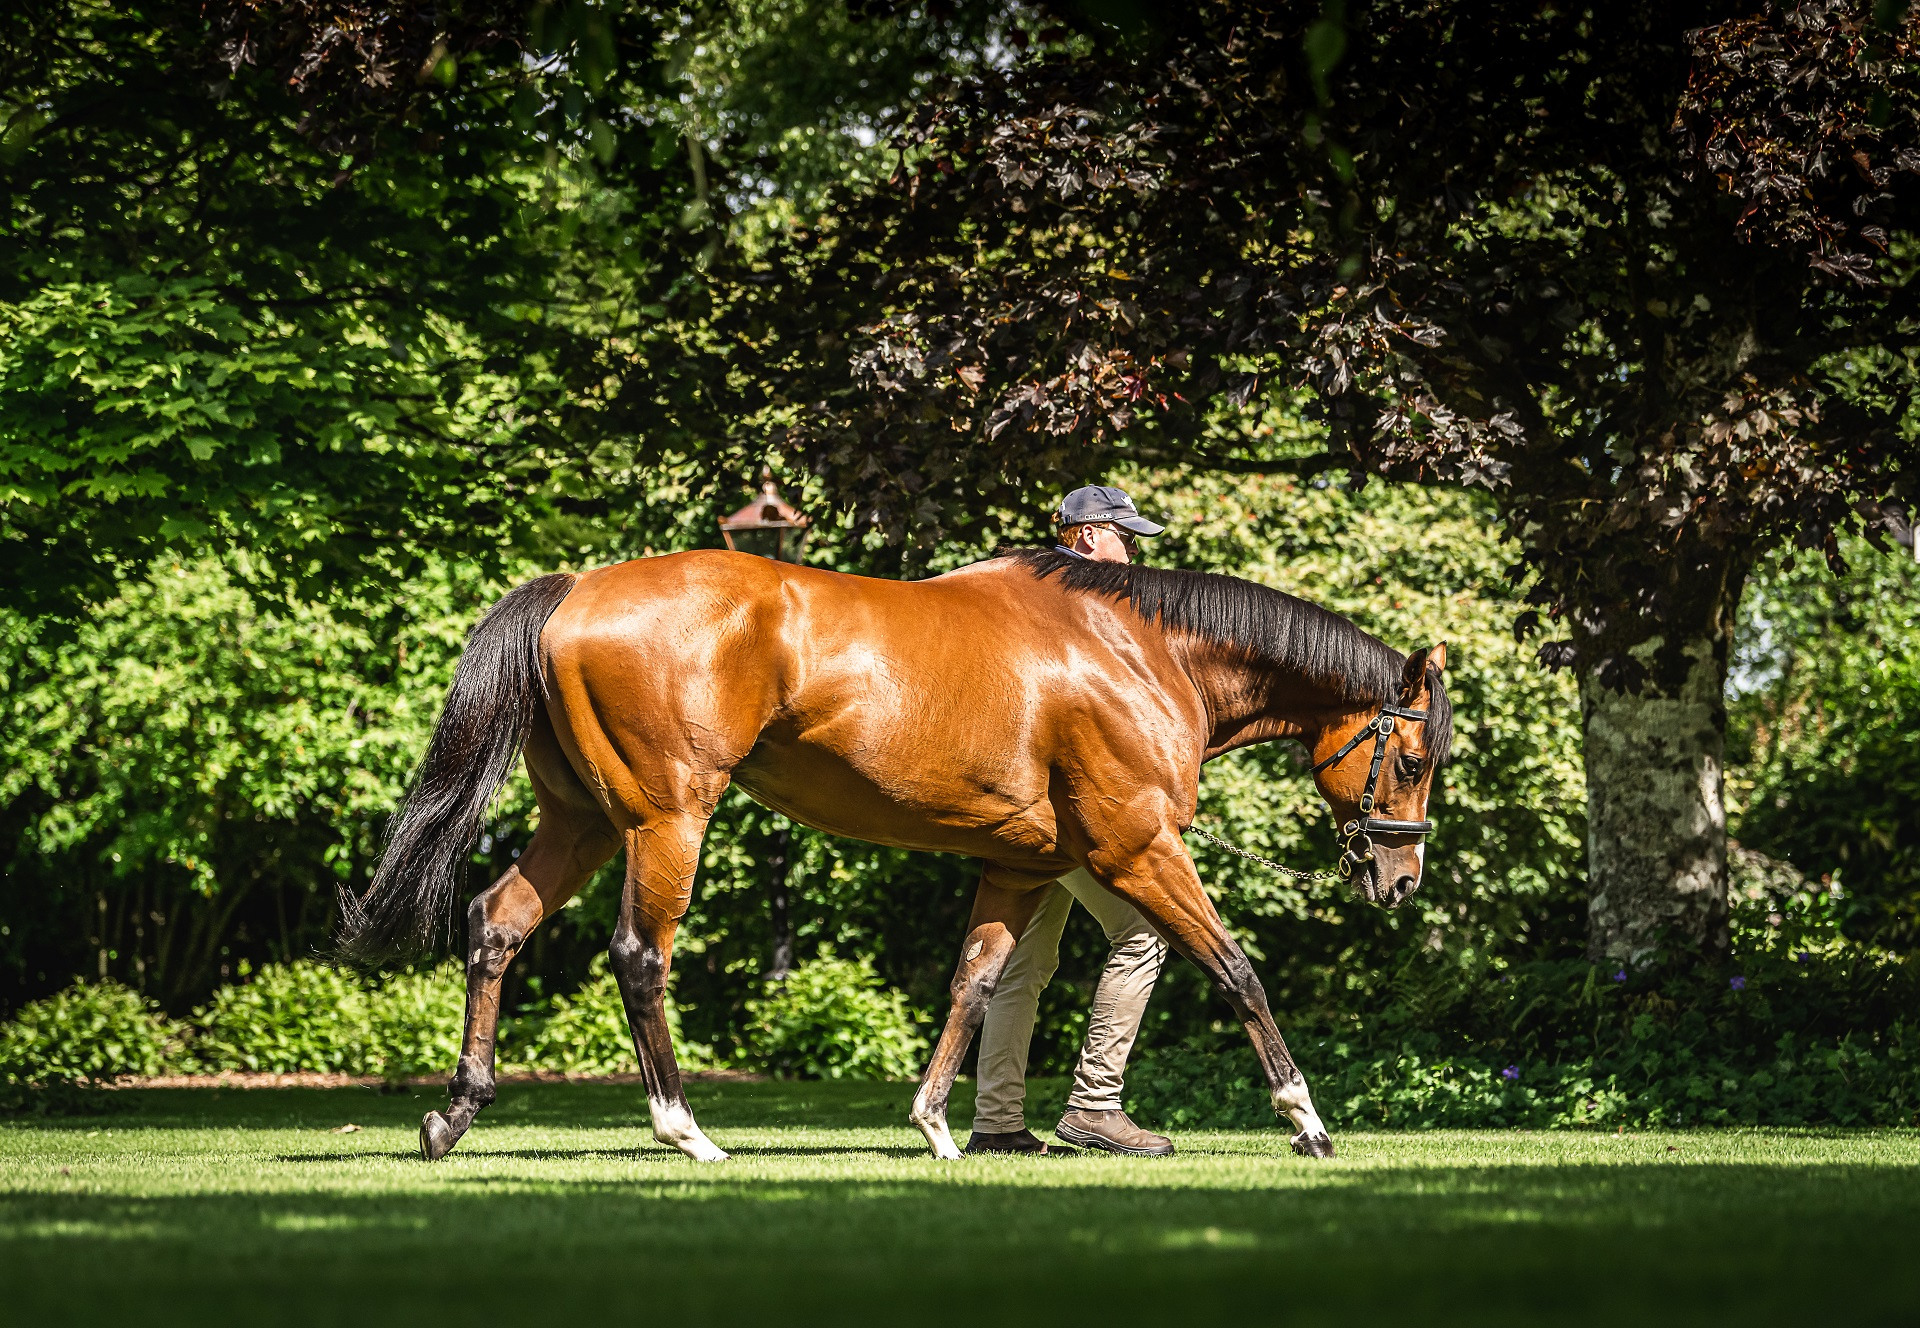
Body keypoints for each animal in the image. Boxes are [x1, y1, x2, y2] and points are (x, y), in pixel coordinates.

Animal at [341, 548, 1451, 1159]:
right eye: (1413, 756)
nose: (1398, 878)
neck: (1137, 650)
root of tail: (580, 588)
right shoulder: (1141, 849)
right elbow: (1236, 970)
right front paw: (1306, 1120)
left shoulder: (1020, 867)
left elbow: (975, 983)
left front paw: (934, 1123)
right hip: (666, 822)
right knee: (639, 956)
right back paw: (684, 1128)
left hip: (581, 823)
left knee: (498, 924)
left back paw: (456, 1113)